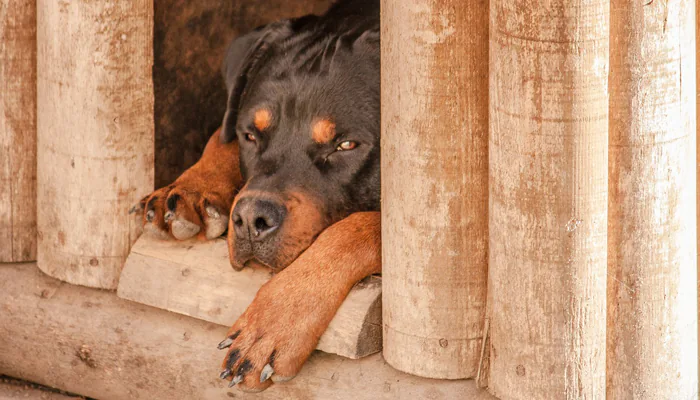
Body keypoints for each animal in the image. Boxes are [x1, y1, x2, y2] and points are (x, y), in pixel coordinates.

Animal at [134, 0, 380, 394]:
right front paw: (188, 188)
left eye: (345, 145)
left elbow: (357, 227)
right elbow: (220, 136)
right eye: (250, 134)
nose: (251, 219)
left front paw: (273, 324)